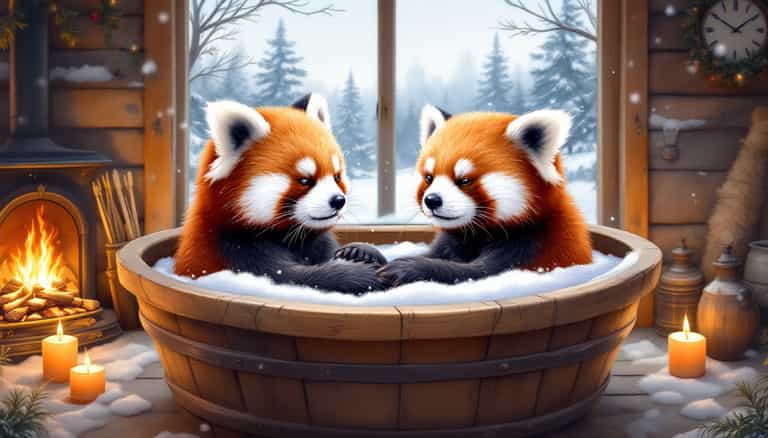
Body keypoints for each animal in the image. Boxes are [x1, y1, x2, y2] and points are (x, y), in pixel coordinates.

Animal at [175, 93, 387, 294]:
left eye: (336, 177)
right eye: (305, 180)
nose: (338, 200)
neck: (290, 237)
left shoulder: (317, 243)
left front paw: (359, 251)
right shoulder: (236, 249)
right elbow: (292, 277)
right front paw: (359, 275)